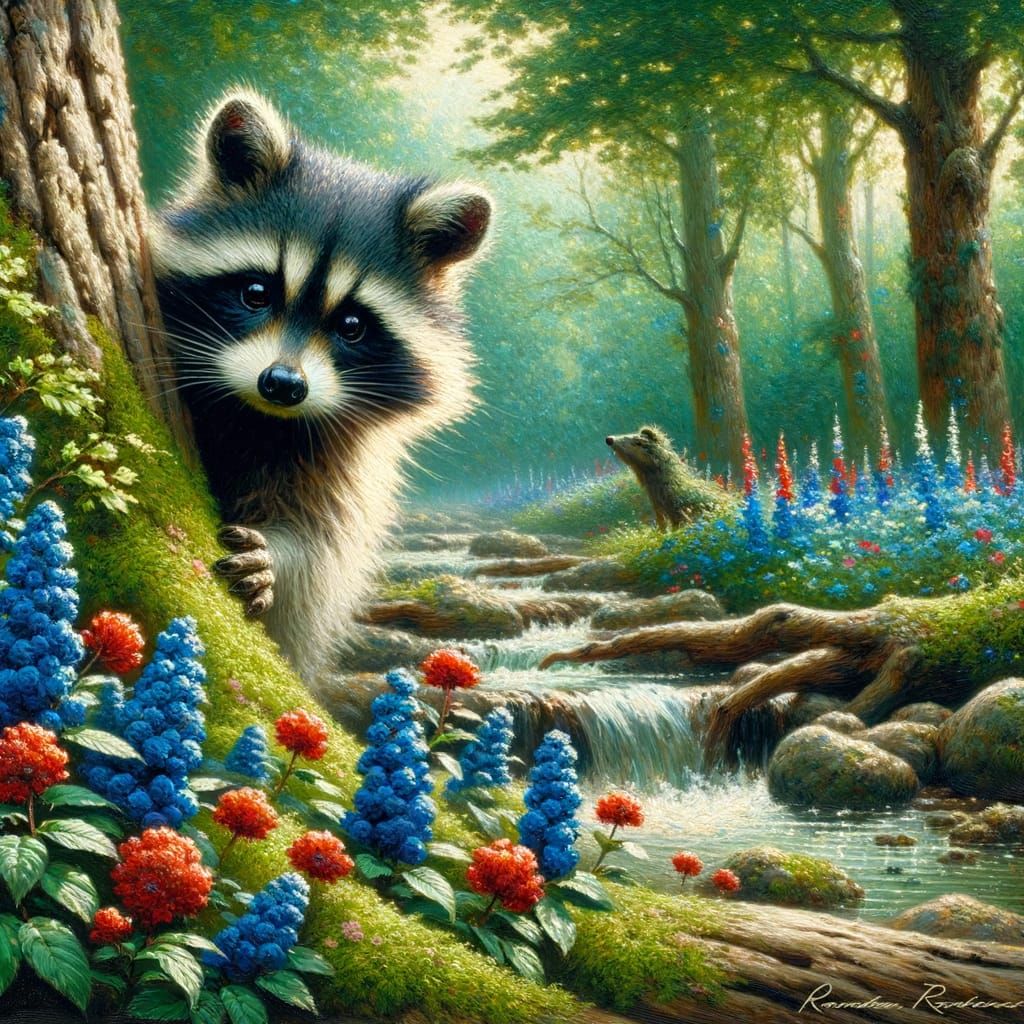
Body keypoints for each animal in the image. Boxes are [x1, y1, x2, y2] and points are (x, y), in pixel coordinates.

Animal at [149, 90, 492, 680]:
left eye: (351, 325)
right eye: (256, 292)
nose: (283, 384)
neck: (259, 418)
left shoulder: (344, 462)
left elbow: (321, 551)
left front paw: (279, 556)